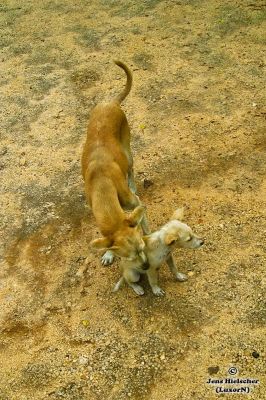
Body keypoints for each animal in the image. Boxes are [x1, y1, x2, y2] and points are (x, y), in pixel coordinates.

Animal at [81, 61, 150, 264]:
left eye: (141, 248)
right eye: (129, 257)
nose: (146, 266)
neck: (102, 185)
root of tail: (111, 102)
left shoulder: (135, 204)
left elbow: (143, 223)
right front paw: (109, 253)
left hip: (127, 150)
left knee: (131, 168)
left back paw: (132, 184)